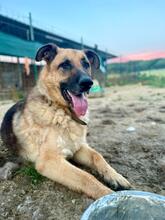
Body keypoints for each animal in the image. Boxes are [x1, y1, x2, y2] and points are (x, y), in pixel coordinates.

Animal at [0, 43, 130, 200]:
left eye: (86, 64)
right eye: (65, 65)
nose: (88, 83)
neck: (63, 112)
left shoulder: (78, 148)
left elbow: (97, 156)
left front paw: (116, 176)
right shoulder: (49, 161)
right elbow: (85, 176)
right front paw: (107, 194)